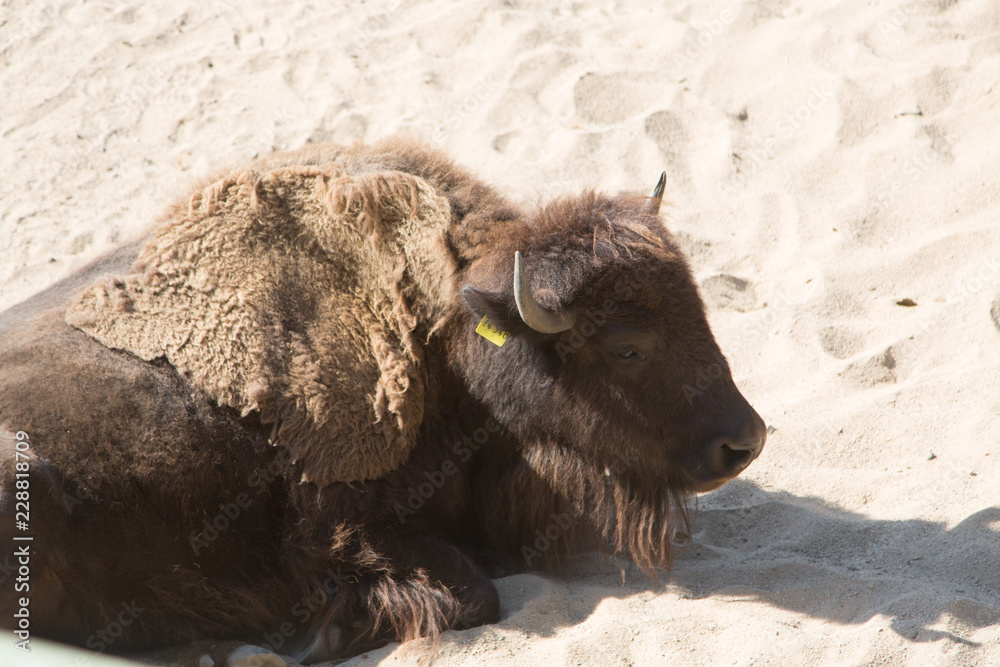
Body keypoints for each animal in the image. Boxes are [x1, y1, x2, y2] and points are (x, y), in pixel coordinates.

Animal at [0, 138, 765, 665]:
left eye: (700, 309)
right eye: (627, 346)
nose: (744, 442)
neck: (443, 332)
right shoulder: (339, 530)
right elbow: (471, 592)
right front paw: (322, 634)